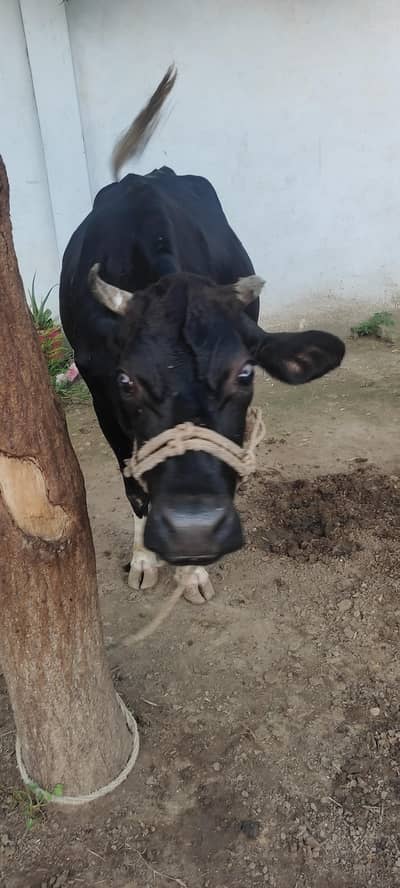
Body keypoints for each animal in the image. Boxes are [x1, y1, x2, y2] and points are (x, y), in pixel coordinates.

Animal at [60, 66, 345, 604]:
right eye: (127, 381)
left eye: (246, 373)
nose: (193, 531)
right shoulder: (102, 396)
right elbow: (134, 482)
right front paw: (145, 559)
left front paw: (190, 573)